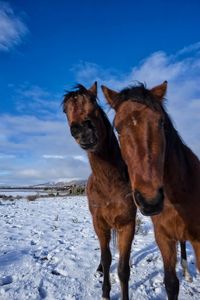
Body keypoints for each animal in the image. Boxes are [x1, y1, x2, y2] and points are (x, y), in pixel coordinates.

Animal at [62, 82, 137, 300]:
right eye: (65, 110)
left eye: (94, 103)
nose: (82, 130)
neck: (110, 183)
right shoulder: (99, 224)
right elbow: (106, 258)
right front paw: (105, 291)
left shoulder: (127, 224)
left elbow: (123, 269)